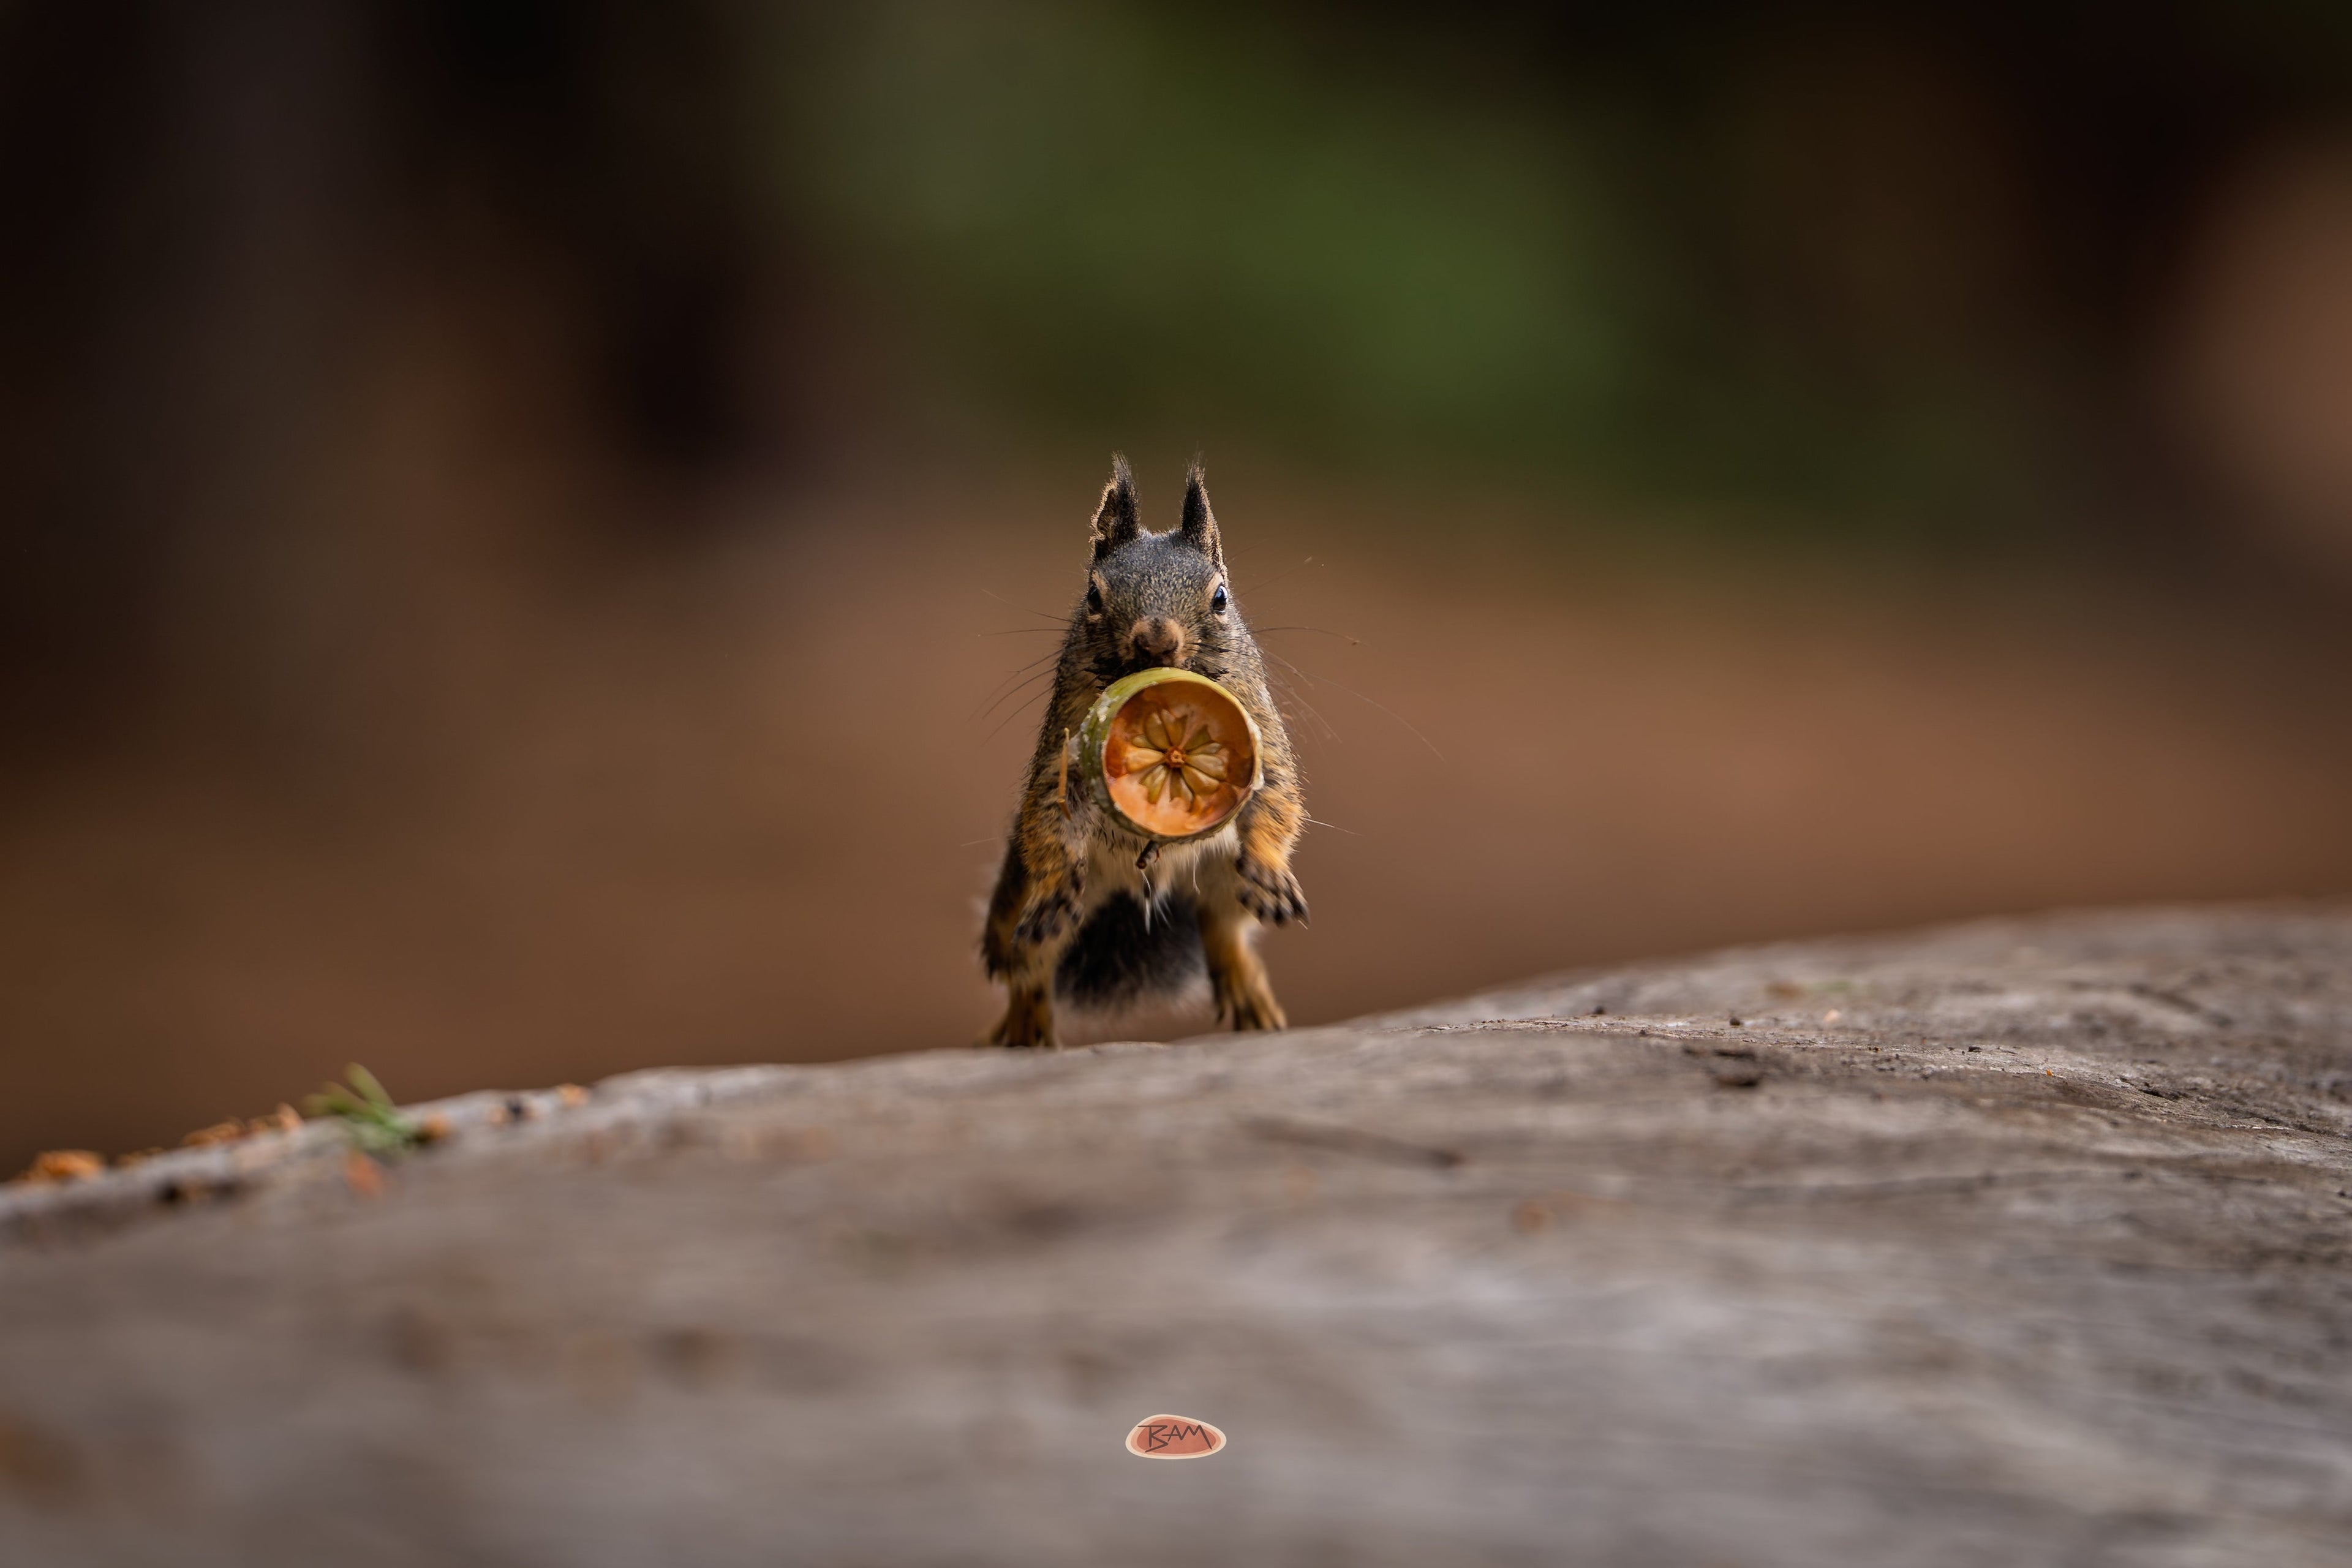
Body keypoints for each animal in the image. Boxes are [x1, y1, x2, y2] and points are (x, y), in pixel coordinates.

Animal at [981, 456, 1308, 1048]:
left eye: (1220, 597)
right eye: (1092, 597)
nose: (1156, 640)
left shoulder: (1262, 735)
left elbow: (1278, 795)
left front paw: (1273, 867)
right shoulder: (1061, 749)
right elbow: (1050, 809)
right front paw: (1055, 879)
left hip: (1224, 877)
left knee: (1222, 929)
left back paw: (1248, 992)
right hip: (1032, 907)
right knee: (1029, 970)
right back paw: (1027, 1026)